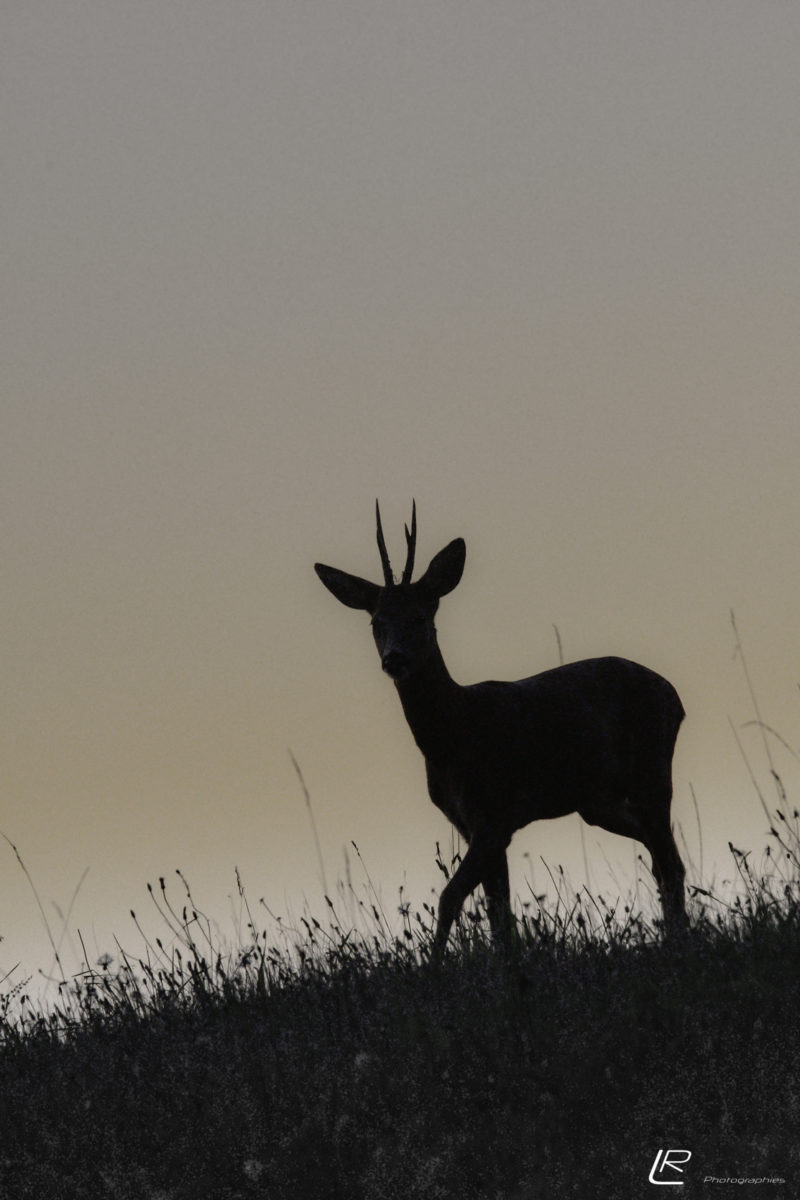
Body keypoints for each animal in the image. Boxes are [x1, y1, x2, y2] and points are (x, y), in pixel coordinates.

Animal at [316, 501, 686, 950]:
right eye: (376, 623)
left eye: (419, 617)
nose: (394, 659)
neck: (453, 735)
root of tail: (674, 695)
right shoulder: (470, 822)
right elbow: (498, 912)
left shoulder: (494, 814)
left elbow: (452, 897)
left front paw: (436, 963)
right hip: (599, 802)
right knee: (659, 859)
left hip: (652, 769)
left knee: (671, 863)